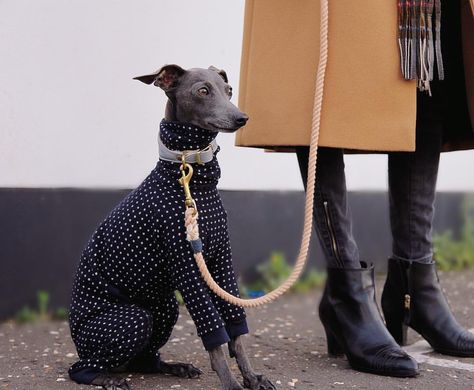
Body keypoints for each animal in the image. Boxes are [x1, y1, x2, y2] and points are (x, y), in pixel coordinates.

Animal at [66, 65, 274, 390]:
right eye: (203, 91)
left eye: (228, 90)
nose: (242, 118)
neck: (191, 178)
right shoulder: (187, 267)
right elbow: (214, 334)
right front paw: (231, 383)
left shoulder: (220, 261)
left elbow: (236, 327)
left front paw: (252, 377)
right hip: (129, 320)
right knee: (81, 367)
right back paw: (106, 378)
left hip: (164, 307)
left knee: (141, 360)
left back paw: (174, 367)